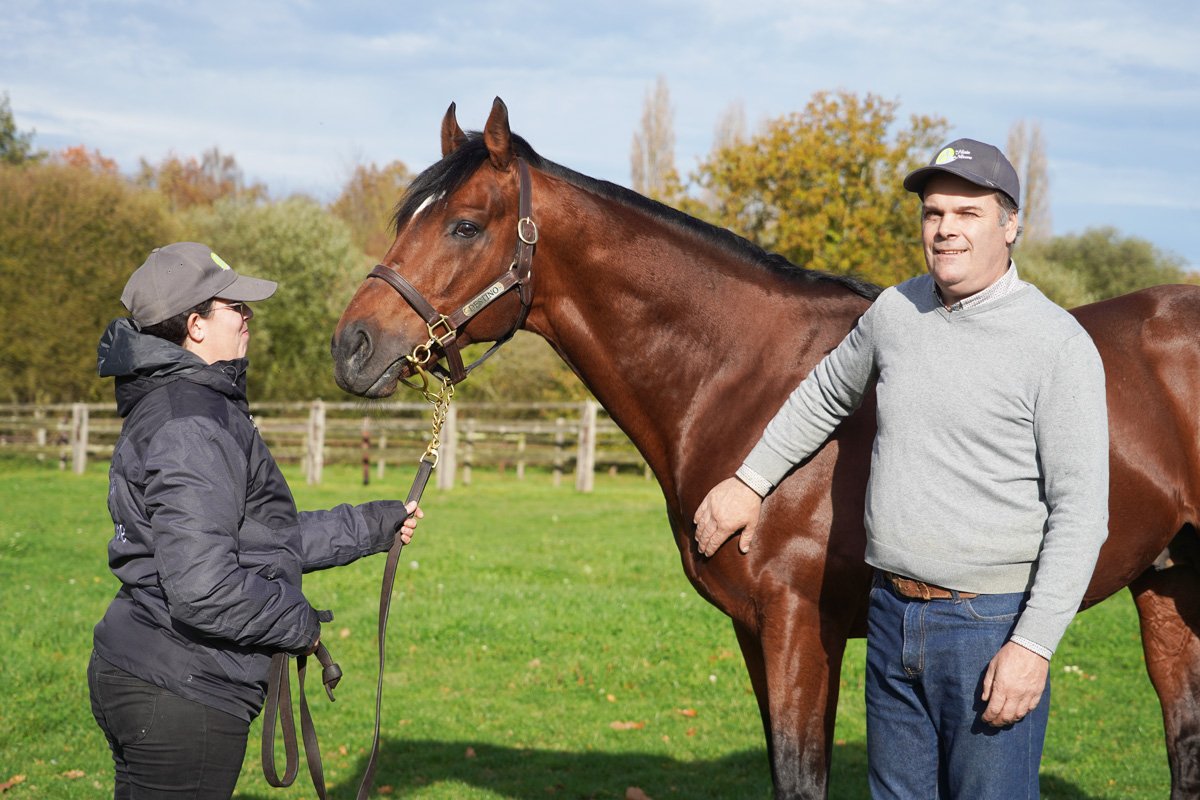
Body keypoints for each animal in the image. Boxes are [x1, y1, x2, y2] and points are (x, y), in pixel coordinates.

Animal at [330, 98, 1200, 799]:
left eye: (464, 224)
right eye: (409, 217)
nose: (353, 347)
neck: (750, 382)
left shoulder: (798, 629)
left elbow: (800, 773)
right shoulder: (755, 632)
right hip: (1166, 589)